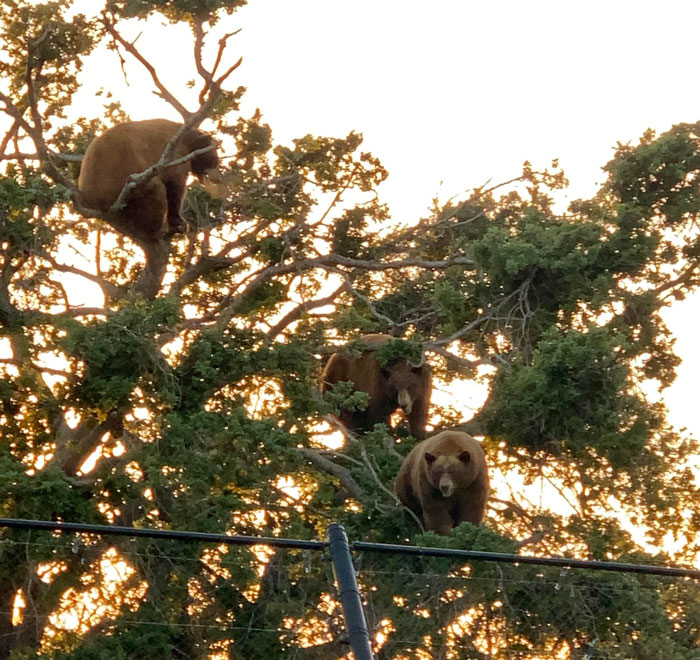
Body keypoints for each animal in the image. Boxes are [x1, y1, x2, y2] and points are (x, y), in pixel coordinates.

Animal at [78, 118, 222, 242]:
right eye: (215, 159)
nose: (217, 176)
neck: (188, 141)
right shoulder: (174, 154)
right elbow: (175, 185)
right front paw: (179, 222)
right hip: (124, 183)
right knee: (156, 189)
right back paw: (156, 229)